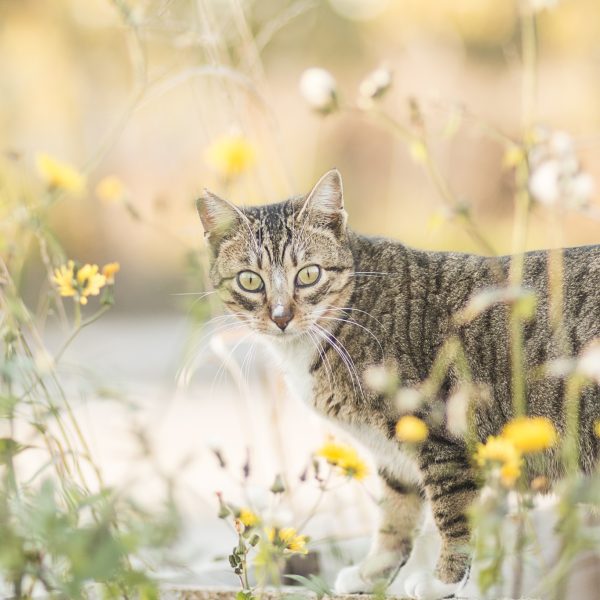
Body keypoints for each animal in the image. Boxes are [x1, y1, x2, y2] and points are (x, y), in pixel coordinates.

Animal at [196, 169, 600, 600]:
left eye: (308, 274)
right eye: (250, 281)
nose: (281, 317)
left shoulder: (441, 442)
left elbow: (453, 519)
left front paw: (443, 581)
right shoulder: (394, 454)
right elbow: (395, 517)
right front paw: (372, 573)